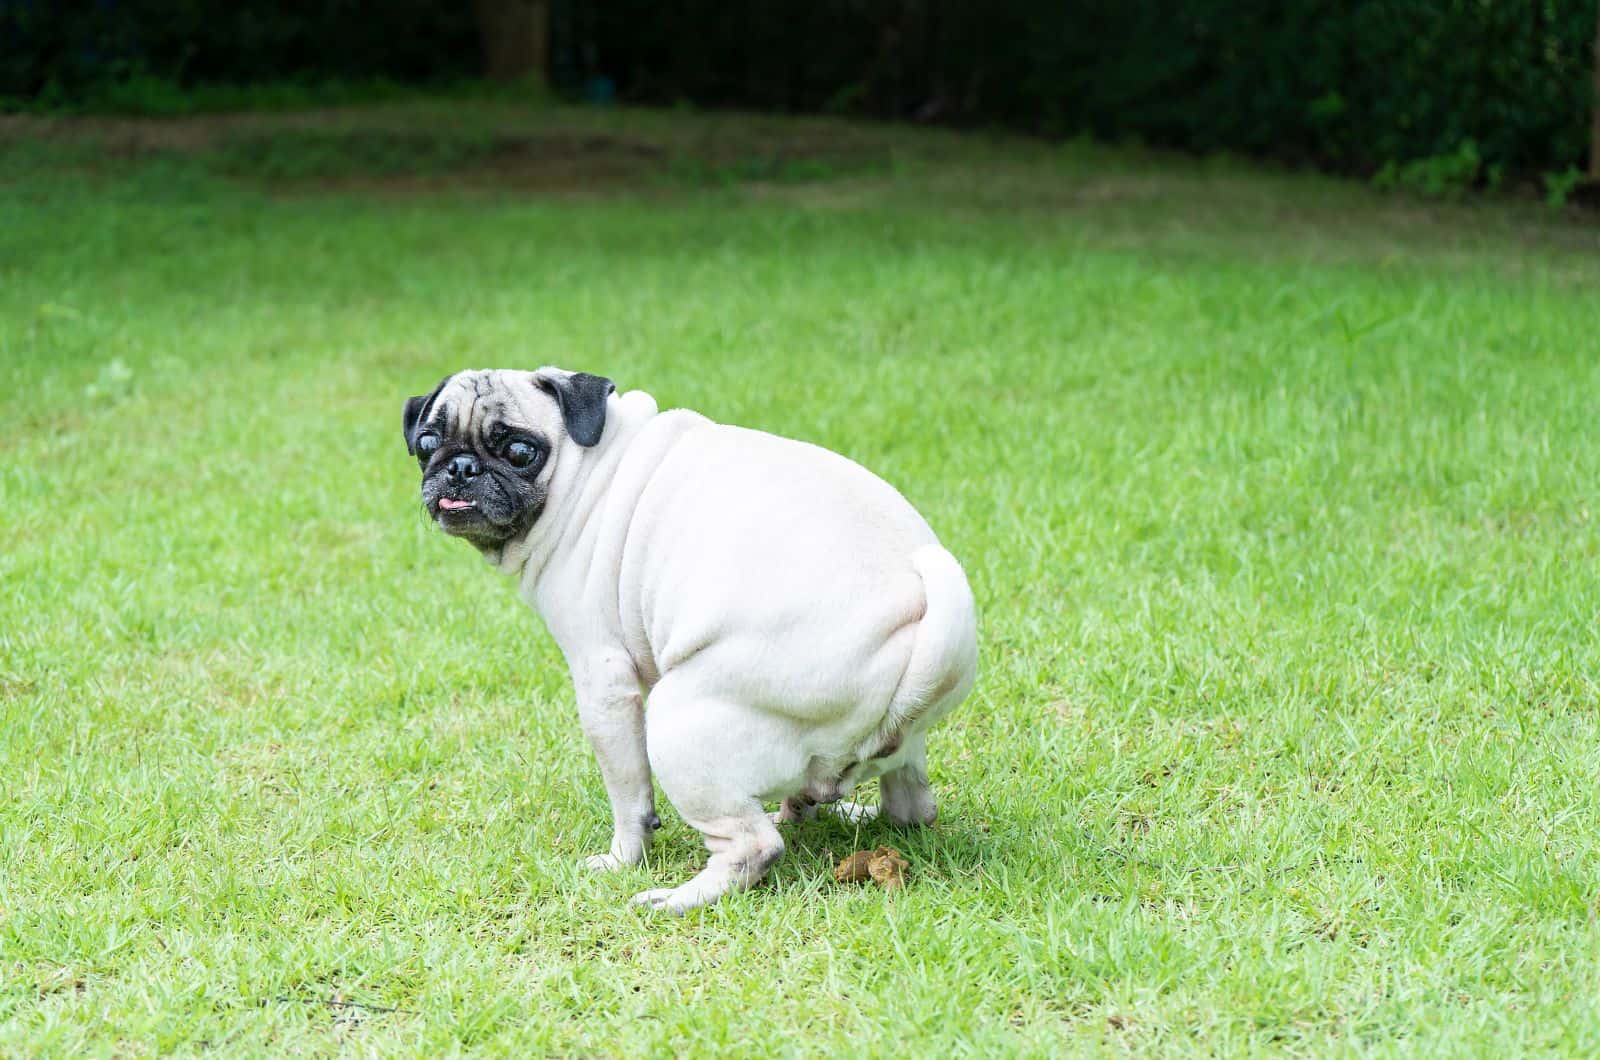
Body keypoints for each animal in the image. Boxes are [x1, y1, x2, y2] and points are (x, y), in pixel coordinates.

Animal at [403, 368, 972, 915]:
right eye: (428, 443)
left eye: (520, 451)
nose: (459, 467)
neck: (587, 471)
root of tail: (918, 627)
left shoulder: (603, 683)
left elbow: (629, 796)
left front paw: (622, 860)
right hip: (902, 751)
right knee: (910, 810)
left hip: (677, 723)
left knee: (752, 846)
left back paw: (676, 899)